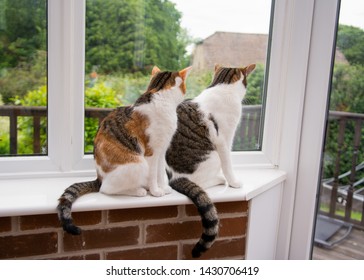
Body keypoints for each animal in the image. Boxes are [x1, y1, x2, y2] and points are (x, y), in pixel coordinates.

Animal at [57, 65, 192, 234]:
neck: (158, 94)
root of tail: (99, 178)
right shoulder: (152, 152)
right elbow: (153, 175)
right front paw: (155, 191)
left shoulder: (161, 151)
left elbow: (160, 173)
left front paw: (163, 187)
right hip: (138, 163)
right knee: (106, 189)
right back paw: (139, 191)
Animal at [166, 64, 256, 258]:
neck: (222, 85)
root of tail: (174, 177)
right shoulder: (224, 140)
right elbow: (228, 164)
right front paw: (234, 182)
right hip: (213, 154)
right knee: (204, 181)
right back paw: (220, 179)